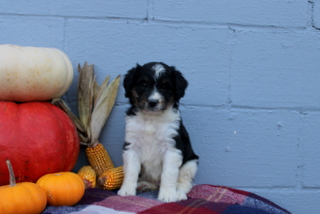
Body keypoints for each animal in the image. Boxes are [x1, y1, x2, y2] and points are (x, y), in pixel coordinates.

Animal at [117, 61, 198, 202]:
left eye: (165, 87)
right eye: (144, 85)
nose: (153, 102)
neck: (151, 119)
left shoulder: (172, 148)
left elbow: (168, 173)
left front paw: (168, 195)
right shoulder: (132, 146)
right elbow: (131, 171)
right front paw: (127, 191)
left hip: (191, 164)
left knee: (184, 182)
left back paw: (178, 193)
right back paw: (143, 185)